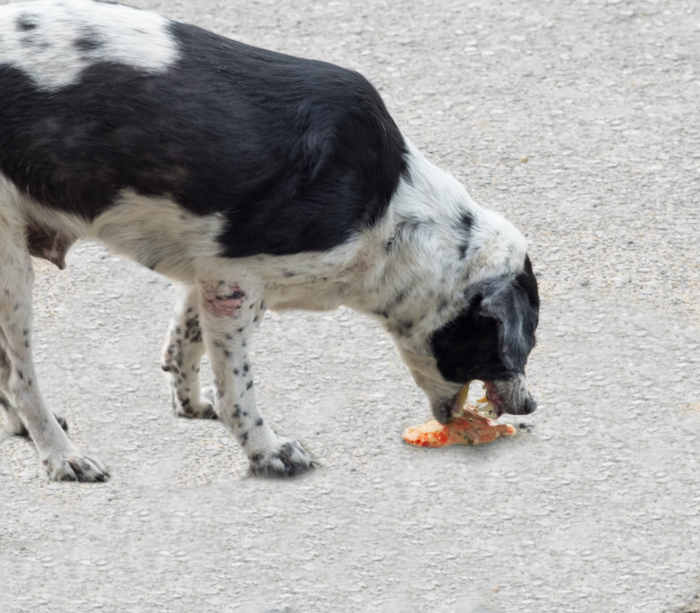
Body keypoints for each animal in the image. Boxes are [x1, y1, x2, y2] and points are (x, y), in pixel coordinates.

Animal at [0, 0, 540, 480]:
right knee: (24, 378)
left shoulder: (209, 275)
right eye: (522, 345)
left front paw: (190, 404)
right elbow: (237, 389)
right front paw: (267, 451)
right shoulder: (234, 285)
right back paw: (61, 455)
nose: (531, 405)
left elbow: (183, 345)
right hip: (12, 271)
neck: (388, 210)